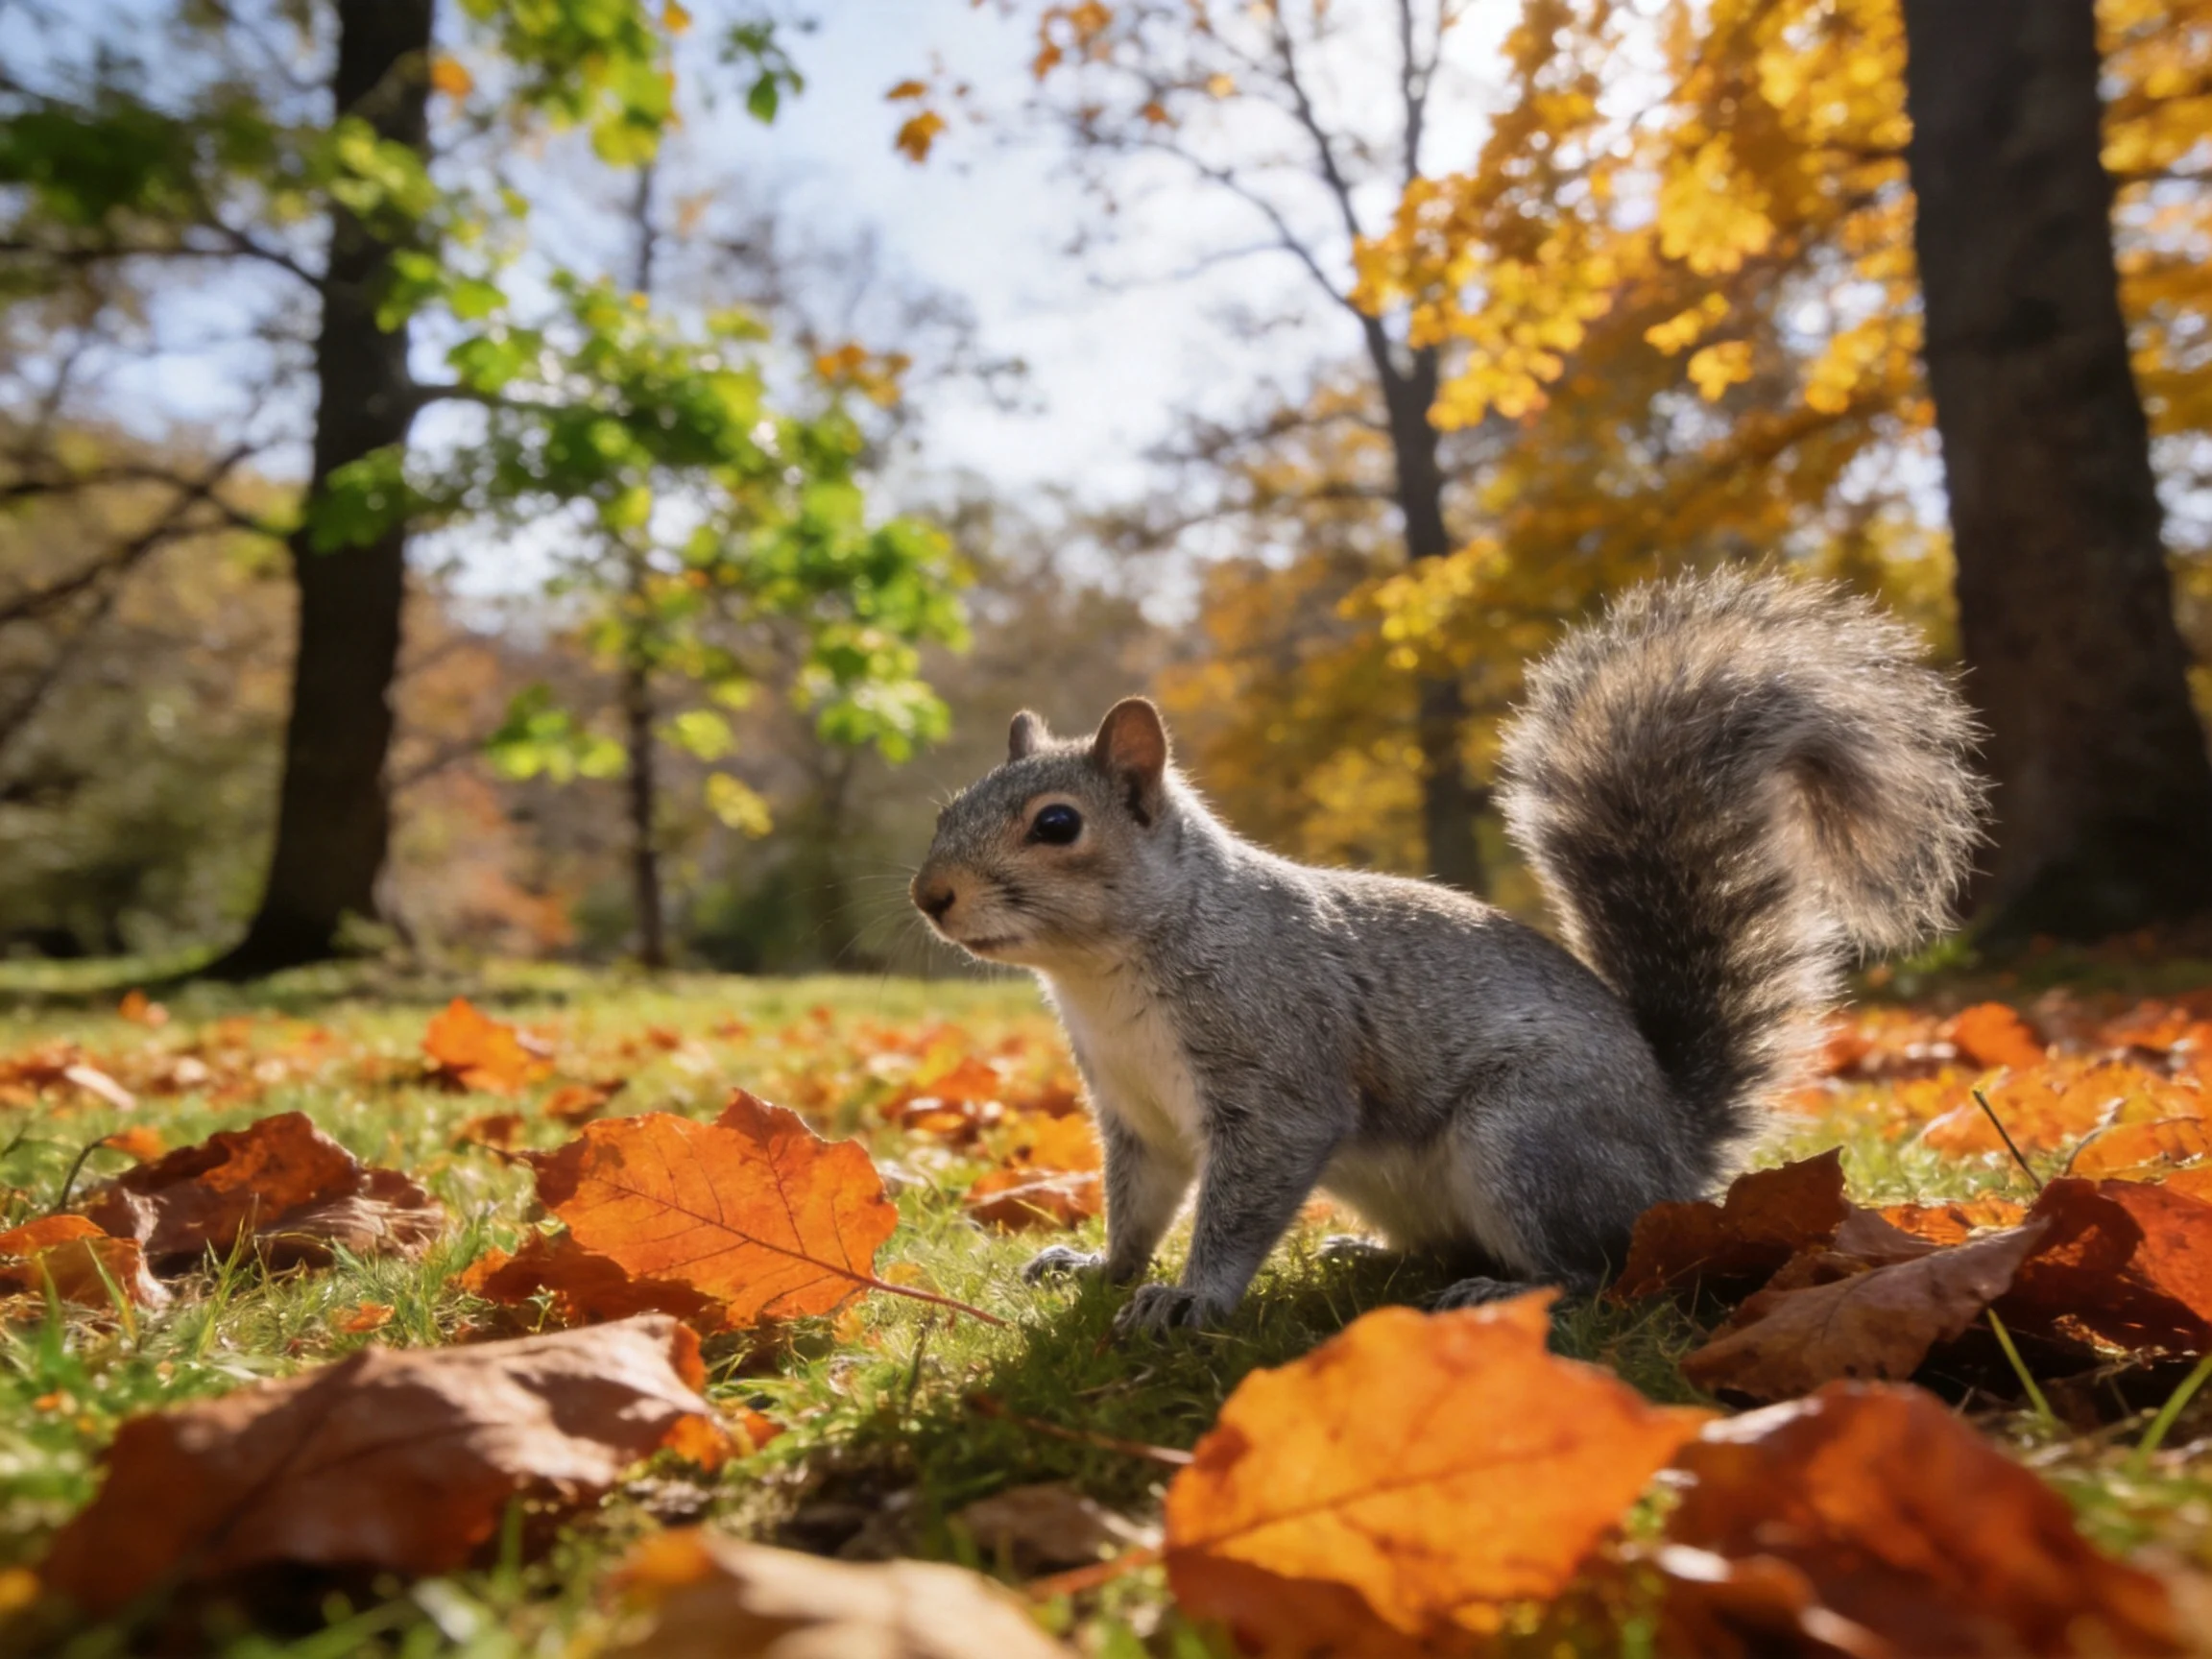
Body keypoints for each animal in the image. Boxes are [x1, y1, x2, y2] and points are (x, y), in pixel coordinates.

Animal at [911, 571, 1986, 1334]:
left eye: (1057, 824)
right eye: (947, 808)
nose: (930, 896)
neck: (1105, 972)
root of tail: (1674, 1158)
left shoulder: (1275, 1069)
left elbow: (1242, 1198)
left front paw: (1191, 1298)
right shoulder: (1135, 1113)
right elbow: (1139, 1206)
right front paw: (1099, 1269)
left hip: (1529, 1142)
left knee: (1601, 1268)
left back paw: (1505, 1293)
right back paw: (1369, 1259)